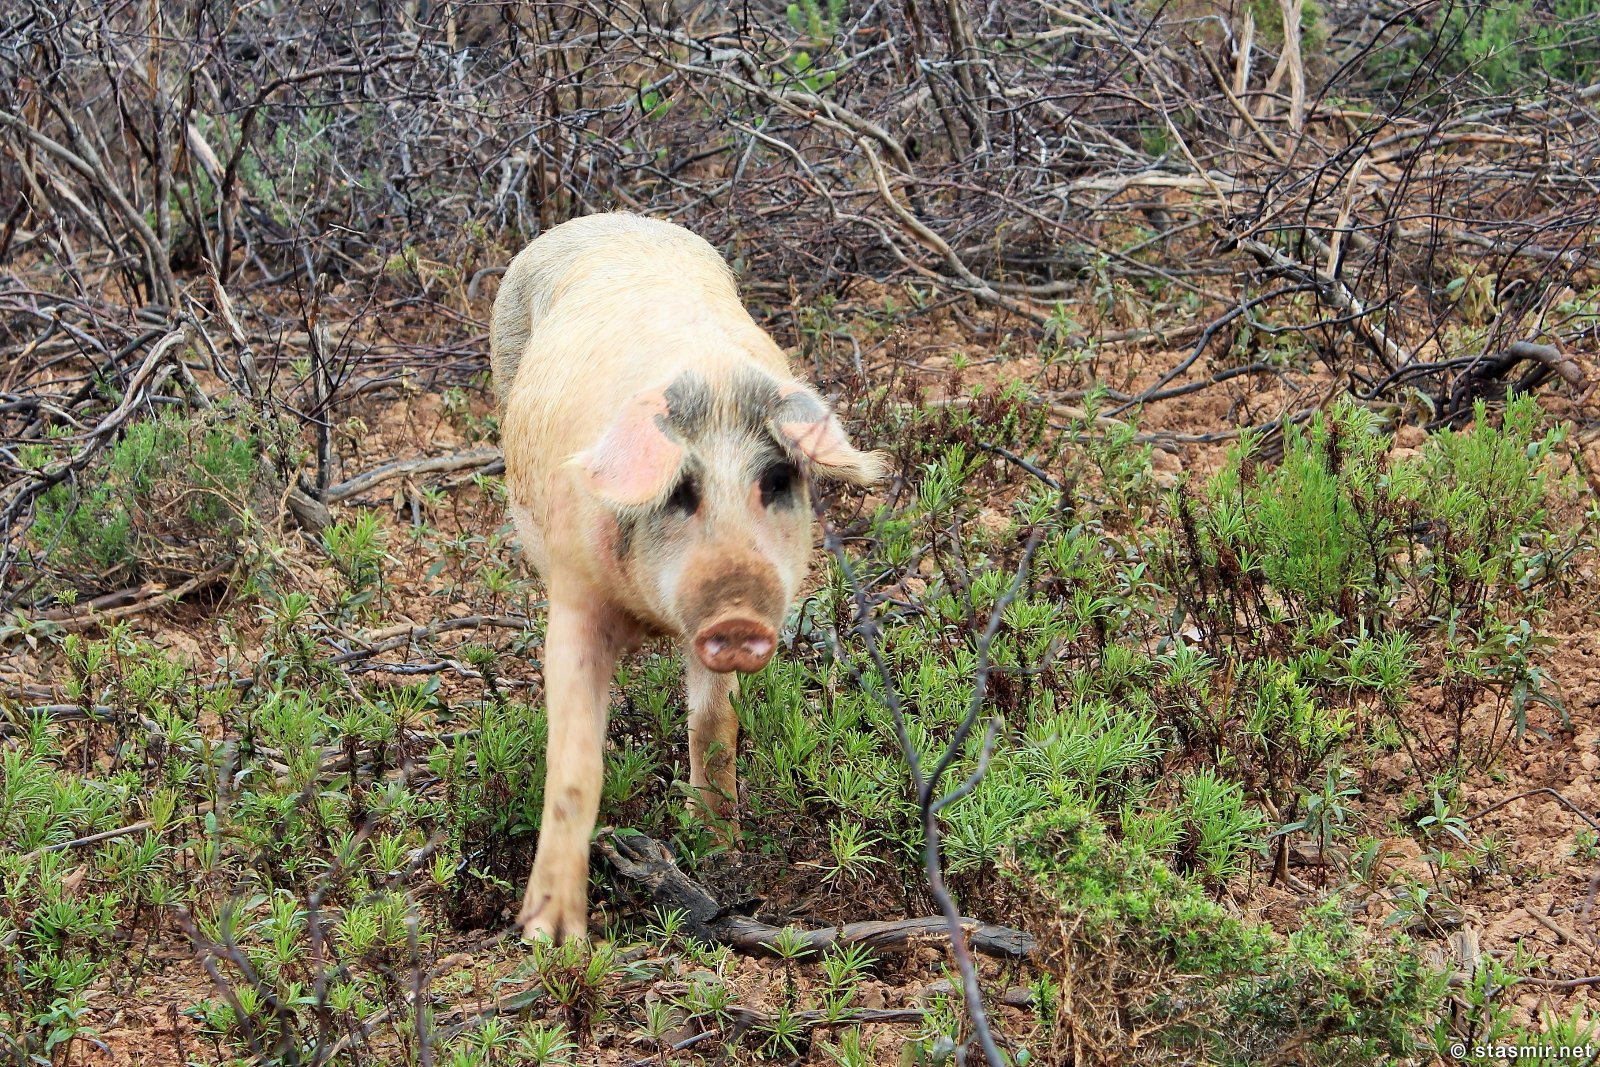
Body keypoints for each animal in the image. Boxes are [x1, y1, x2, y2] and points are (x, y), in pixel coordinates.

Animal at [489, 212, 886, 942]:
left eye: (776, 480)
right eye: (680, 490)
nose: (737, 615)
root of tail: (605, 217)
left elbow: (715, 727)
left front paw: (718, 848)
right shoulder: (575, 594)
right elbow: (576, 757)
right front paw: (550, 938)